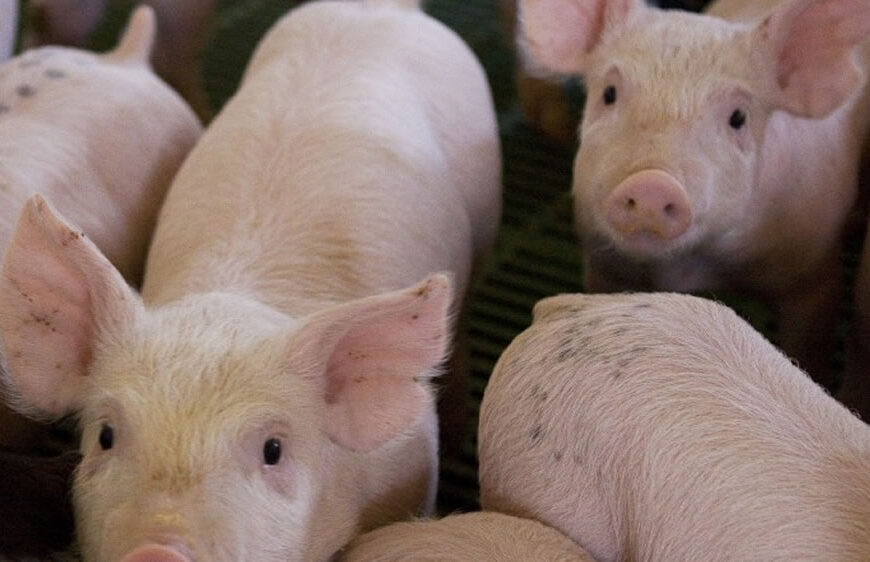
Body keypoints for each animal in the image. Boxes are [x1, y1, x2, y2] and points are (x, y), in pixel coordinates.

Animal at [516, 0, 870, 390]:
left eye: (738, 117)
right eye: (609, 94)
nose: (652, 183)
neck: (694, 267)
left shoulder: (815, 274)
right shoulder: (603, 264)